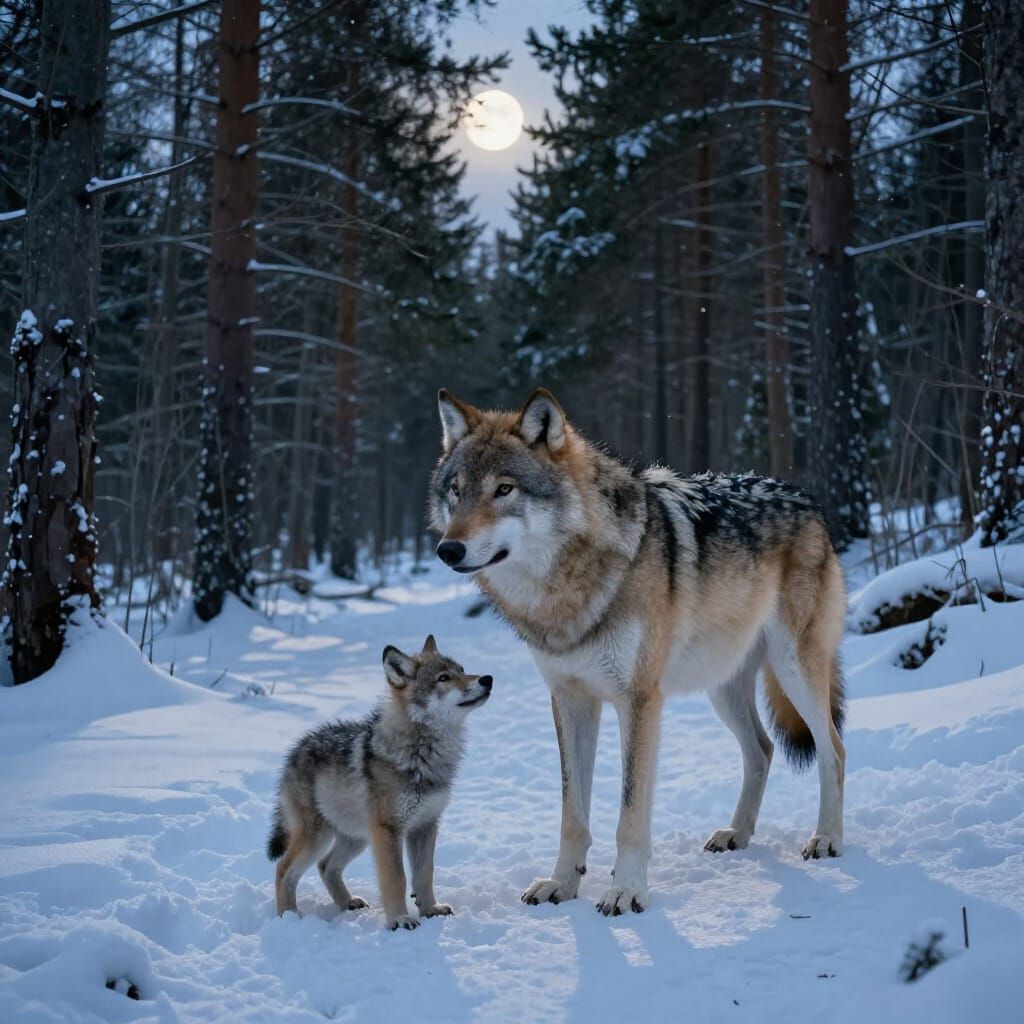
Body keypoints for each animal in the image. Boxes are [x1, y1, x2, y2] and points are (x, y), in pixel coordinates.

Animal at [267, 635, 492, 929]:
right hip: (319, 837)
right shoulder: (389, 830)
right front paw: (400, 920)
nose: (488, 679)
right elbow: (397, 879)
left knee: (326, 866)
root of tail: (295, 750)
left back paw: (347, 903)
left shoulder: (425, 825)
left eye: (463, 670)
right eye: (443, 678)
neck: (422, 752)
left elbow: (424, 875)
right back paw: (288, 917)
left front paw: (430, 909)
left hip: (356, 838)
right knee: (283, 869)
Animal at [428, 387, 846, 916]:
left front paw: (626, 890)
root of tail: (804, 497)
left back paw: (827, 838)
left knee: (833, 748)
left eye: (505, 489)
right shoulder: (570, 699)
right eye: (456, 490)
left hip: (794, 670)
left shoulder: (640, 700)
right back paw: (737, 833)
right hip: (721, 689)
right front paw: (561, 884)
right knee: (763, 749)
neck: (567, 591)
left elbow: (629, 811)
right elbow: (572, 812)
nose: (448, 550)